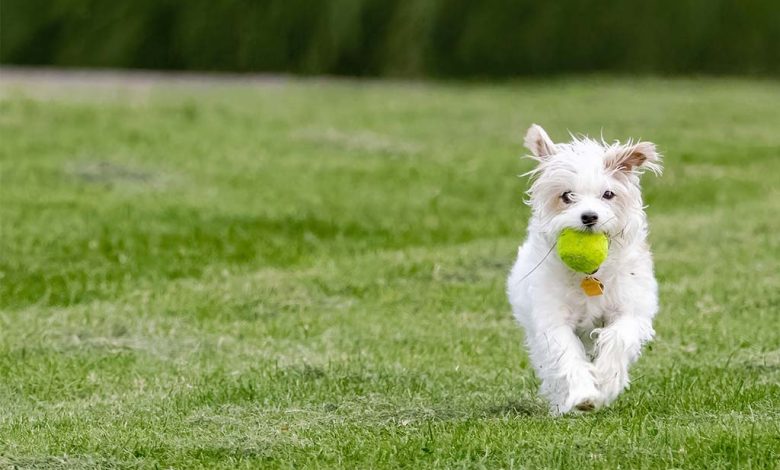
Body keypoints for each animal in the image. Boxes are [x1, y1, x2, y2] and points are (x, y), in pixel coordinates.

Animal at [506, 123, 664, 414]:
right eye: (567, 196)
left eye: (608, 194)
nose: (589, 216)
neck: (590, 275)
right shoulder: (552, 320)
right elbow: (566, 354)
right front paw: (583, 395)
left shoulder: (631, 310)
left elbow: (618, 337)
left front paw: (607, 380)